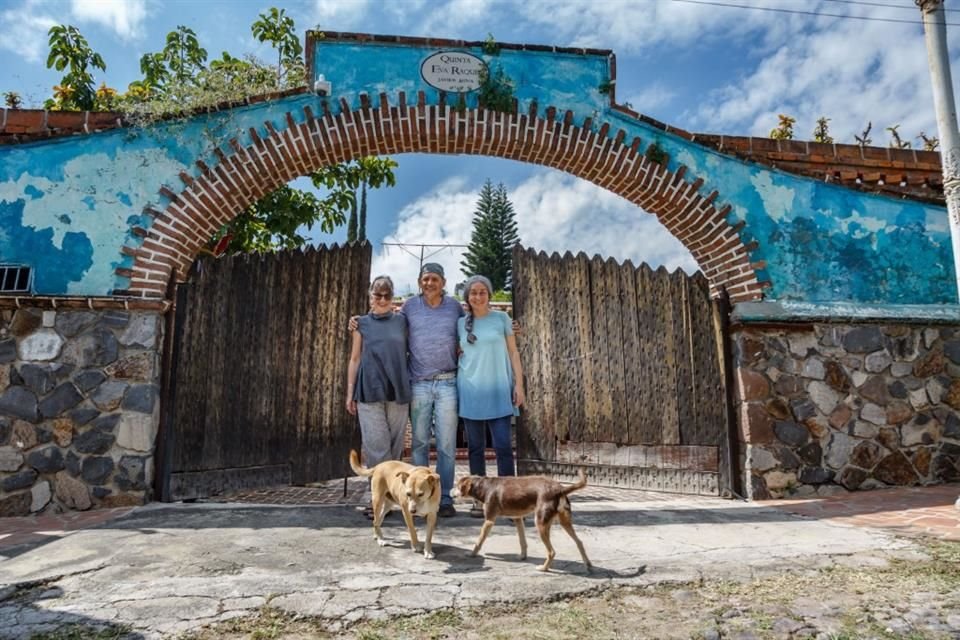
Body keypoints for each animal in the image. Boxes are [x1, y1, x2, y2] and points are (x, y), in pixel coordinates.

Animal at [450, 468, 592, 572]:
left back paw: (544, 568)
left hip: (540, 523)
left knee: (551, 552)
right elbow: (522, 541)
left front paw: (471, 554)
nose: (450, 492)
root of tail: (560, 489)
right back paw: (588, 565)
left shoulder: (489, 520)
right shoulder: (517, 519)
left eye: (457, 486)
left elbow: (478, 541)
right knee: (579, 542)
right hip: (563, 521)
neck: (484, 486)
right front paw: (522, 556)